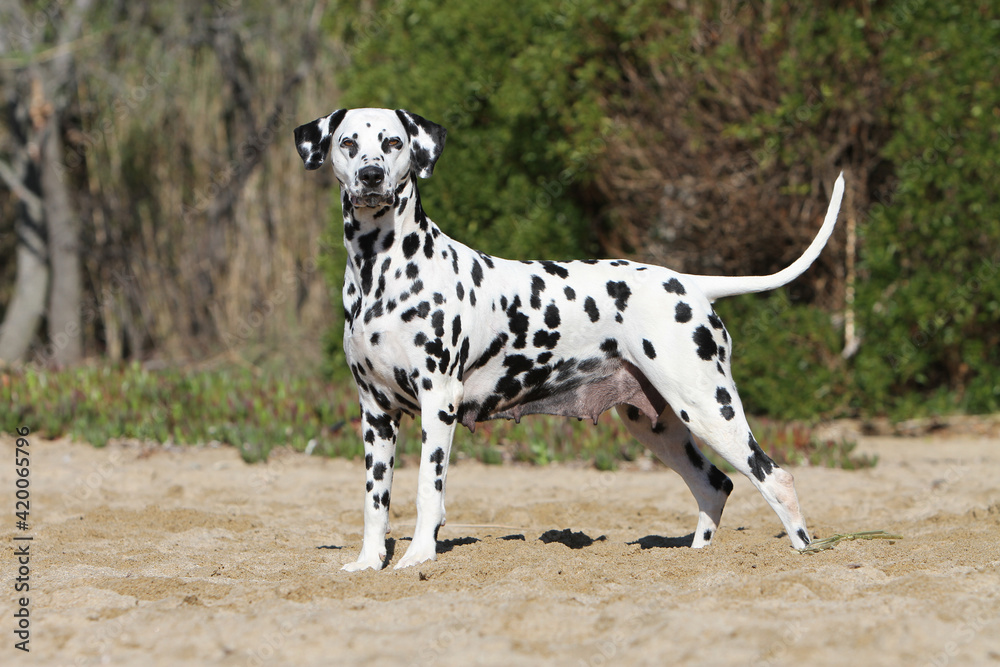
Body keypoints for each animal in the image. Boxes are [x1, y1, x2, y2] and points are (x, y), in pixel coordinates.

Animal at [294, 107, 844, 572]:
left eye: (393, 142)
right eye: (348, 143)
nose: (371, 176)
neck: (381, 270)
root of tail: (690, 283)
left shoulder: (438, 403)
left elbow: (429, 493)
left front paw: (417, 559)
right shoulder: (375, 413)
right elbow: (375, 501)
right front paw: (369, 563)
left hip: (710, 408)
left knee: (774, 477)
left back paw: (806, 553)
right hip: (660, 425)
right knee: (715, 486)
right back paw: (696, 559)